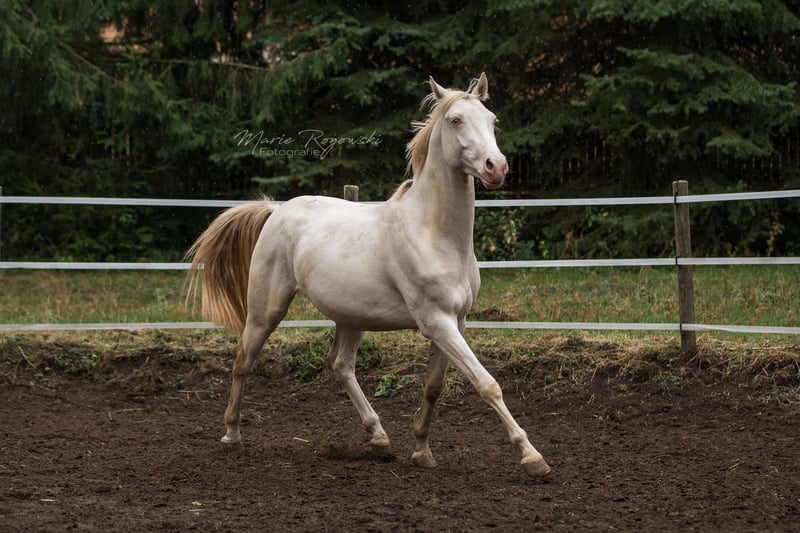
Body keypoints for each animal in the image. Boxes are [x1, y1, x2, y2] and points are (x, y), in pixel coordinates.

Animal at [186, 73, 550, 478]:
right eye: (455, 120)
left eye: (492, 120)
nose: (496, 167)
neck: (433, 234)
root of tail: (276, 210)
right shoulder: (437, 322)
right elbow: (487, 384)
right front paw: (532, 456)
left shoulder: (457, 321)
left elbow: (433, 387)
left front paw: (422, 450)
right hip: (267, 309)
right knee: (243, 359)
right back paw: (232, 434)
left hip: (352, 316)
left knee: (341, 365)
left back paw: (378, 436)